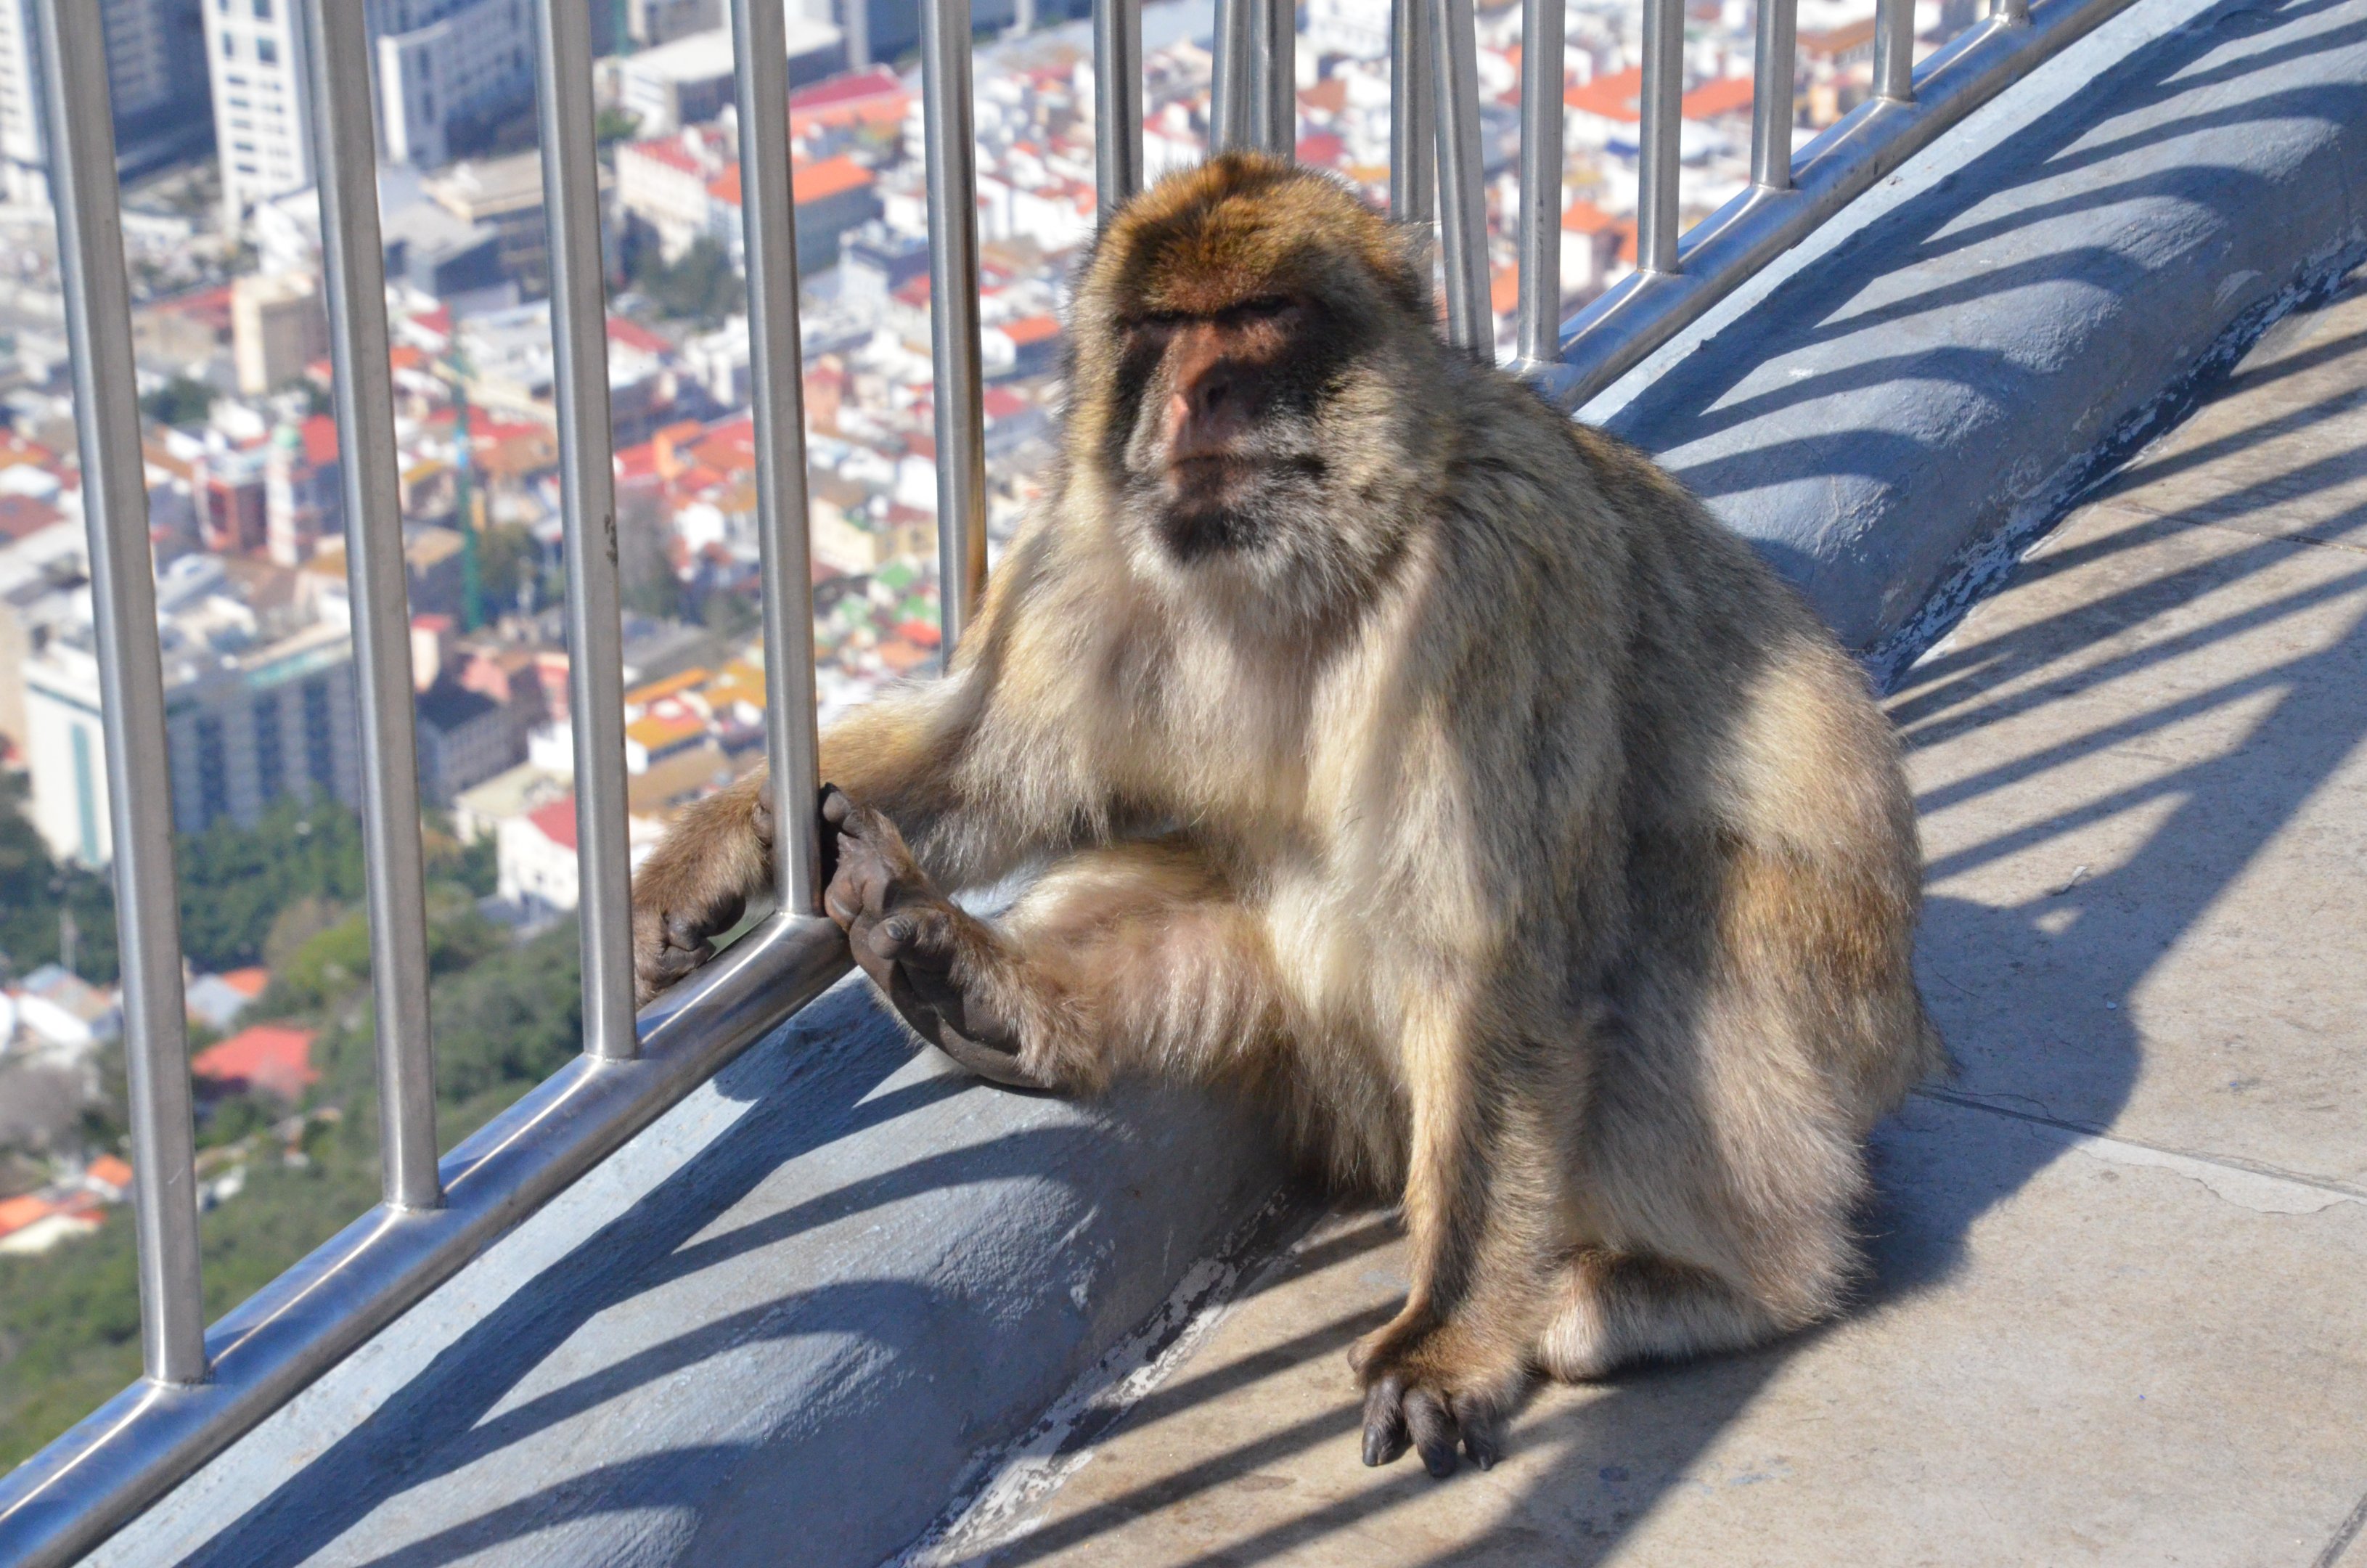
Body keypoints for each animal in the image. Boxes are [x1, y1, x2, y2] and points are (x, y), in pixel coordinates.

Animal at [628, 152, 1945, 1479]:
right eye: (1162, 327)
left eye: (1257, 315)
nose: (1197, 392)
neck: (1299, 563)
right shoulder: (1078, 552)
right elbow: (995, 766)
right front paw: (719, 852)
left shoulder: (1493, 585)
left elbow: (1496, 957)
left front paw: (1446, 1338)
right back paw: (970, 983)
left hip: (1817, 1031)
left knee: (1674, 906)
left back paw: (1703, 1290)